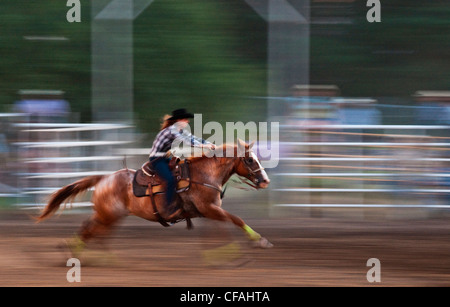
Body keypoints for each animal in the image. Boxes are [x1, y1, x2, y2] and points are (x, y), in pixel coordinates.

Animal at [37, 140, 272, 255]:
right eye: (250, 160)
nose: (265, 180)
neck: (203, 175)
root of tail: (104, 178)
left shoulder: (208, 211)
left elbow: (222, 228)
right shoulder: (209, 208)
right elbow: (236, 219)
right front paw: (260, 241)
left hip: (109, 215)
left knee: (93, 230)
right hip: (108, 214)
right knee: (92, 230)